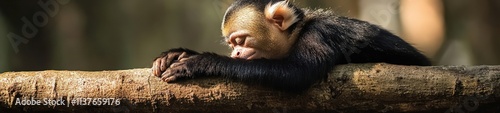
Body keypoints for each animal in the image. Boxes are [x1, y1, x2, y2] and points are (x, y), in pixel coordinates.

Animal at [150, 0, 432, 91]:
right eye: (231, 44)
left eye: (241, 41)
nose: (236, 52)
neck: (299, 31)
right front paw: (178, 54)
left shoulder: (318, 34)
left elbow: (297, 74)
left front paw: (202, 61)